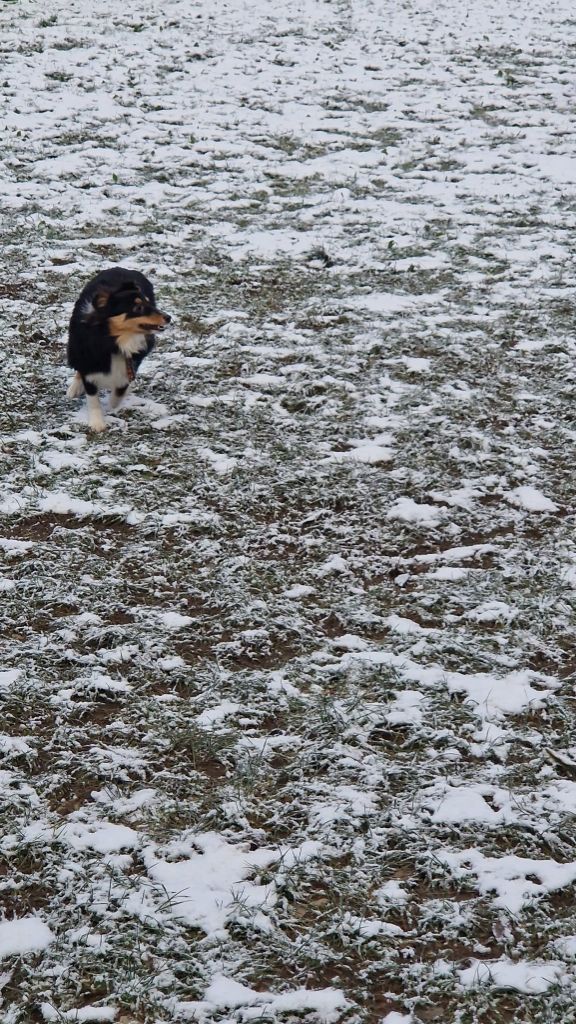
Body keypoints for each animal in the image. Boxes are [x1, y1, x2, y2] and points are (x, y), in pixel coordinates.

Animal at [67, 266, 169, 430]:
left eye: (150, 303)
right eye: (138, 307)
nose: (168, 318)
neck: (115, 341)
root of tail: (122, 268)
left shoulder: (130, 364)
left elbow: (119, 391)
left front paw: (112, 407)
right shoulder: (88, 358)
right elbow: (92, 396)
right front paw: (97, 424)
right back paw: (75, 387)